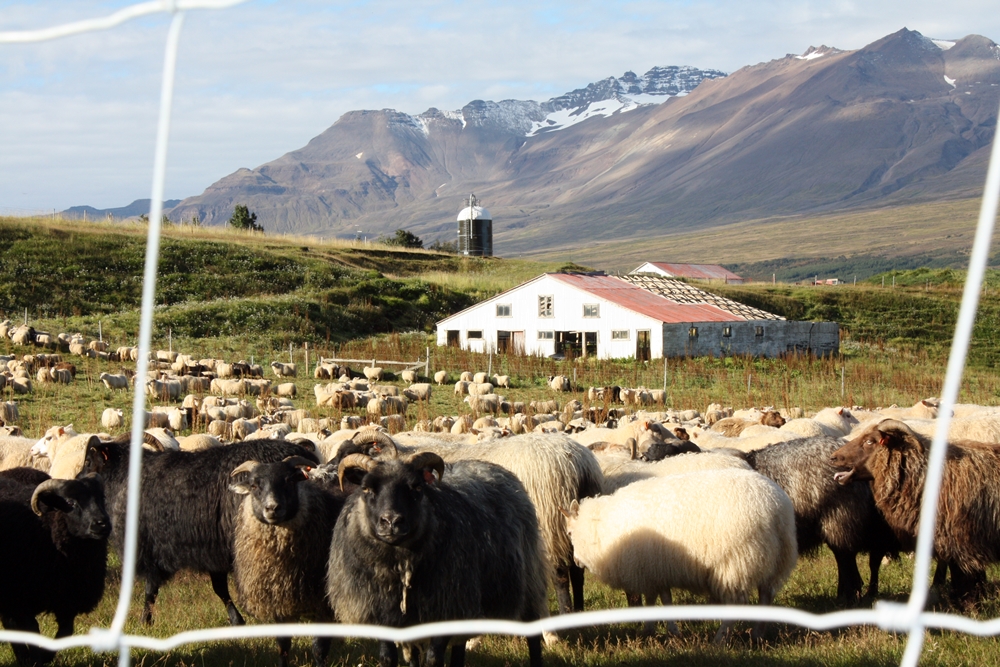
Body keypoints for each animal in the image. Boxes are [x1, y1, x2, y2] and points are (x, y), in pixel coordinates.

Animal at [0, 474, 110, 667]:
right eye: (70, 502)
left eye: (101, 498)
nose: (102, 524)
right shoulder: (23, 599)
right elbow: (33, 632)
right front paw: (36, 659)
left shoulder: (66, 601)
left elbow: (65, 632)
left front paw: (45, 656)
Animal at [87, 438, 320, 628]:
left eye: (89, 462)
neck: (121, 480)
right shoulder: (213, 551)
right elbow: (220, 589)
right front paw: (237, 620)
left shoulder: (150, 549)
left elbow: (150, 590)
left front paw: (145, 621)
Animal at [572, 468, 796, 640]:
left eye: (570, 533)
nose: (575, 561)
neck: (603, 527)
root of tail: (777, 509)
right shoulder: (655, 569)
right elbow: (658, 598)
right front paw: (652, 630)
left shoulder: (648, 567)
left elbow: (660, 599)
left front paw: (666, 630)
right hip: (775, 559)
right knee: (766, 595)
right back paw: (757, 635)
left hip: (735, 562)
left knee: (737, 604)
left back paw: (720, 638)